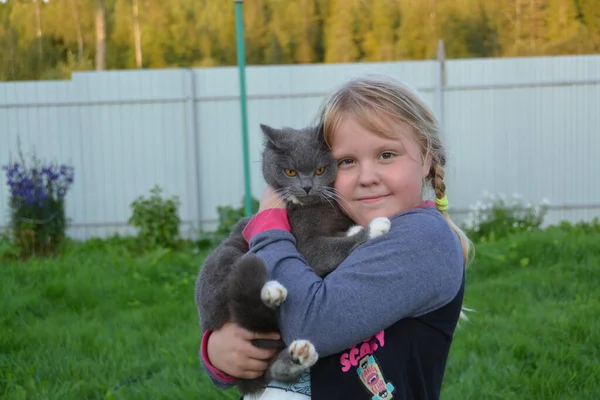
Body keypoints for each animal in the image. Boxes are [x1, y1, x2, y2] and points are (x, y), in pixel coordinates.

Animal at [195, 122, 392, 396]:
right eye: (290, 171)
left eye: (320, 170)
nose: (307, 186)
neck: (315, 206)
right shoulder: (305, 245)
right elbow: (330, 249)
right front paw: (374, 227)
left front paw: (353, 228)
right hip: (225, 258)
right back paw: (271, 291)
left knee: (274, 366)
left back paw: (298, 356)